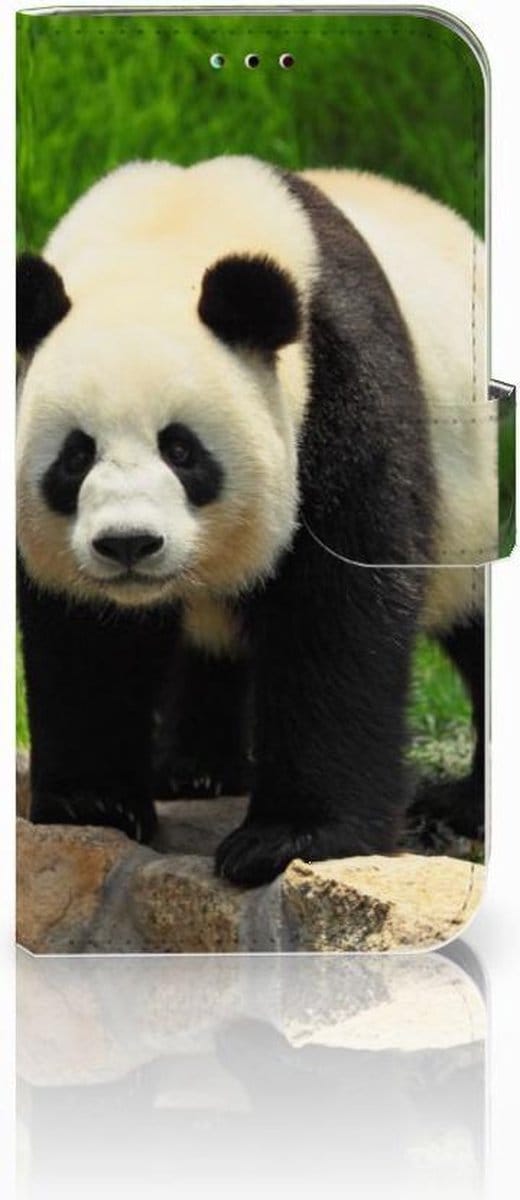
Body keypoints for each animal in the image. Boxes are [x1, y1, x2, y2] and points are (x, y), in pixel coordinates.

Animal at [16, 156, 495, 887]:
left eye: (182, 450)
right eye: (75, 456)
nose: (128, 544)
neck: (166, 236)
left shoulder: (339, 384)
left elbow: (338, 610)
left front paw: (290, 838)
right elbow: (84, 635)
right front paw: (91, 803)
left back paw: (464, 804)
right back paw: (194, 769)